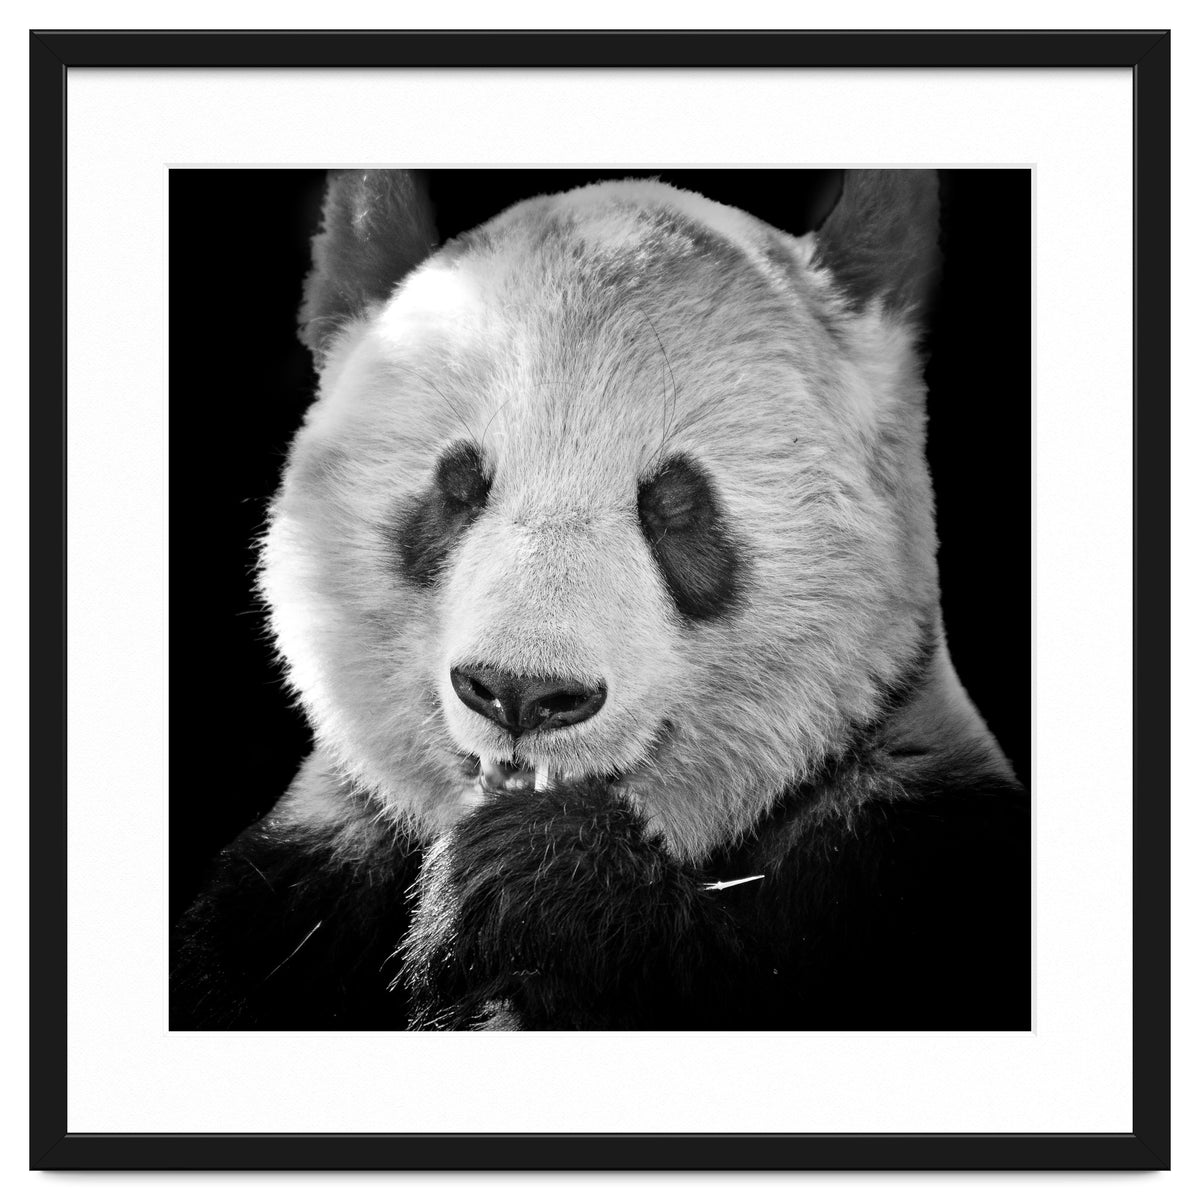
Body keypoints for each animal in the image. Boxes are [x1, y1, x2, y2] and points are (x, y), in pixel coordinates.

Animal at [171, 169, 1030, 1033]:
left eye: (676, 505)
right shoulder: (296, 888)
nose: (521, 693)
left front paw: (538, 878)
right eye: (458, 487)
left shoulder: (904, 853)